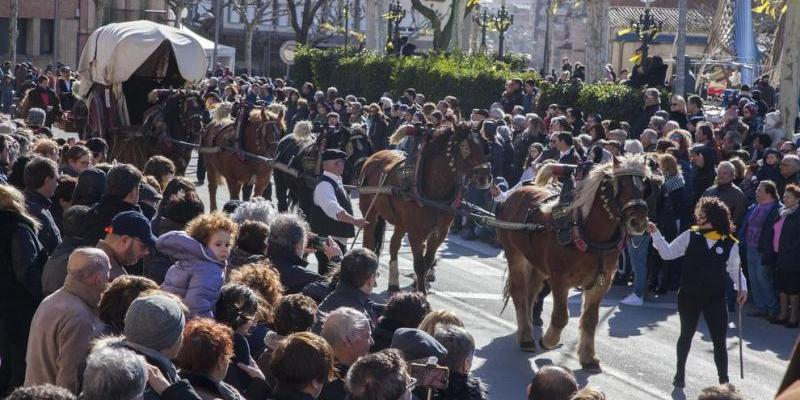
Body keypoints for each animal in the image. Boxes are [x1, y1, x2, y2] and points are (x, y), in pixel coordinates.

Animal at [360, 122, 488, 294]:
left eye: (484, 145)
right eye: (465, 147)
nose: (485, 177)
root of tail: (374, 156)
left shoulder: (440, 232)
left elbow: (428, 261)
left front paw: (420, 287)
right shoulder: (415, 231)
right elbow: (419, 265)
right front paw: (421, 294)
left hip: (401, 222)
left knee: (394, 244)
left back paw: (393, 283)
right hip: (370, 210)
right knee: (369, 238)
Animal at [494, 154, 656, 372]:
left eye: (644, 187)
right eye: (620, 185)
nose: (638, 222)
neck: (588, 233)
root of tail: (514, 194)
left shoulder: (601, 283)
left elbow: (590, 320)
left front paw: (588, 357)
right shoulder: (559, 279)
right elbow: (561, 316)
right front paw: (549, 340)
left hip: (536, 263)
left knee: (531, 292)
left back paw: (525, 327)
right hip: (515, 255)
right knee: (519, 293)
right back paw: (527, 337)